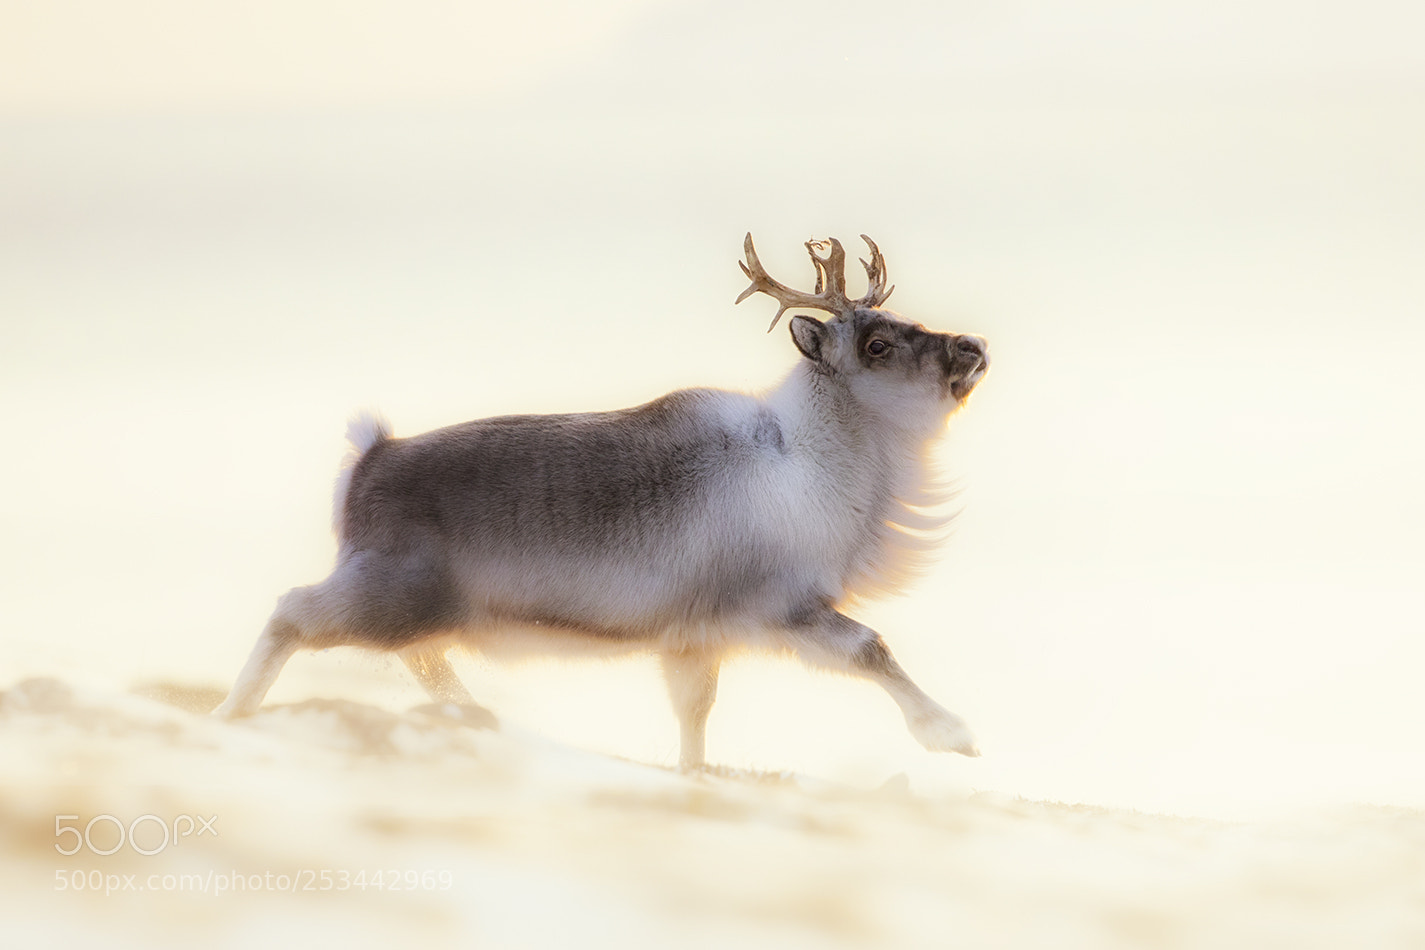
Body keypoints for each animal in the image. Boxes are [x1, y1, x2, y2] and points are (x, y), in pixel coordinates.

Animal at [214, 233, 990, 768]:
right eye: (878, 344)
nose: (974, 345)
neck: (821, 460)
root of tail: (371, 456)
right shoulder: (784, 606)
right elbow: (871, 648)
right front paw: (953, 734)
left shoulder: (692, 641)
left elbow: (694, 720)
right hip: (391, 595)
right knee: (291, 612)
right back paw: (231, 714)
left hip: (418, 613)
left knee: (423, 663)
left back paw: (474, 716)